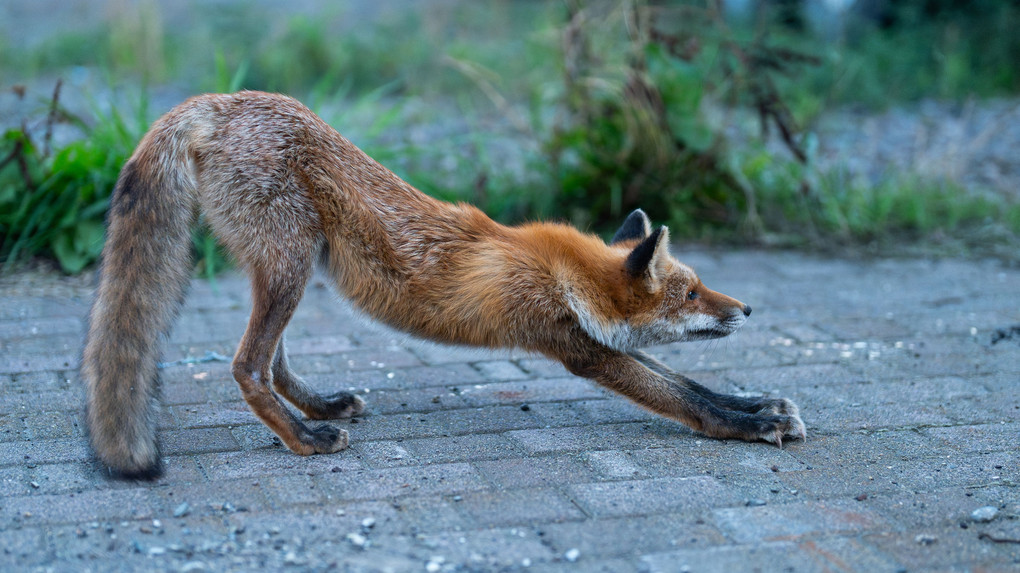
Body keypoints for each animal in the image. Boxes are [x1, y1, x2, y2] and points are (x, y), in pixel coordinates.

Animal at [81, 91, 803, 477]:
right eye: (691, 293)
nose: (746, 308)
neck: (561, 273)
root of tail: (218, 102)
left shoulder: (591, 337)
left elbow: (691, 382)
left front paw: (761, 405)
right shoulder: (578, 346)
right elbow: (683, 397)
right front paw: (750, 425)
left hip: (287, 268)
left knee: (273, 362)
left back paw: (319, 408)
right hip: (287, 268)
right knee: (246, 366)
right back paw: (304, 438)